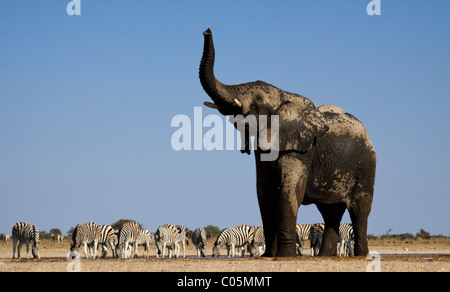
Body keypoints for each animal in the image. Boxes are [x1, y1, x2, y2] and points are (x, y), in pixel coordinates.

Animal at [198, 28, 376, 256]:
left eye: (256, 103)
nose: (207, 30)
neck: (285, 95)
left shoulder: (300, 152)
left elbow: (288, 192)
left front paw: (284, 256)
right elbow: (264, 194)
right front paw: (268, 256)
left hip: (366, 163)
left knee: (360, 208)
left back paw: (361, 255)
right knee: (331, 212)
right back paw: (325, 256)